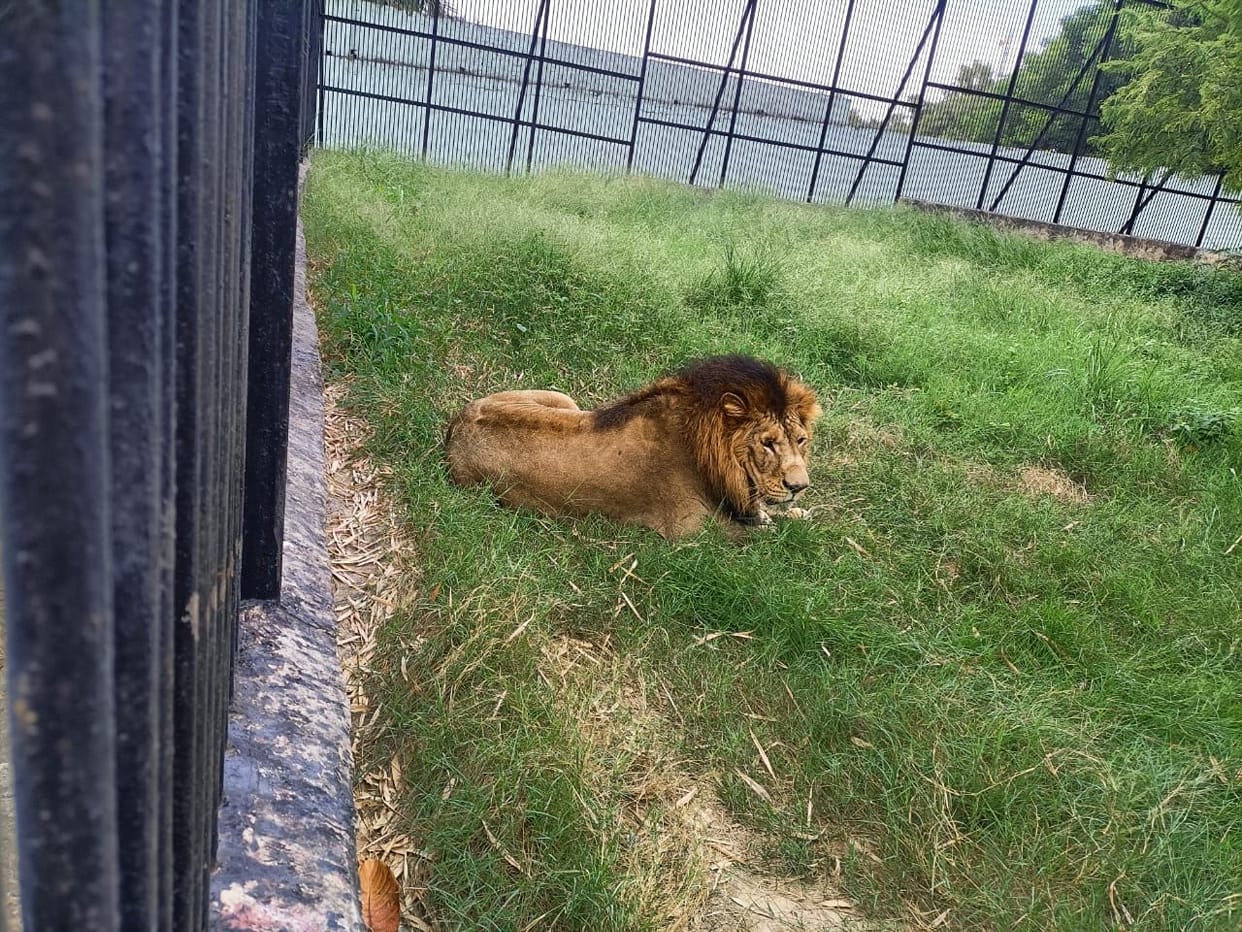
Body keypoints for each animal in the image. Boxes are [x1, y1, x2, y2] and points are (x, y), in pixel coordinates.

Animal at [444, 355, 822, 539]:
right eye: (768, 444)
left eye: (801, 440)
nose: (799, 487)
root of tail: (455, 427)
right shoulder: (694, 534)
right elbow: (770, 537)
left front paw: (799, 513)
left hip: (563, 399)